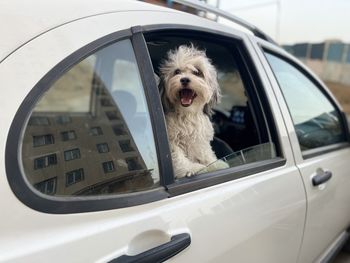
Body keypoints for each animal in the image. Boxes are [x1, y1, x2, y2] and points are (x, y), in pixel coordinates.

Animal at [159, 44, 230, 179]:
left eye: (197, 72)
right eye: (177, 71)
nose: (184, 80)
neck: (187, 114)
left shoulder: (199, 137)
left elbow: (205, 153)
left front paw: (214, 164)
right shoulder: (172, 141)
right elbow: (178, 156)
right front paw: (191, 168)